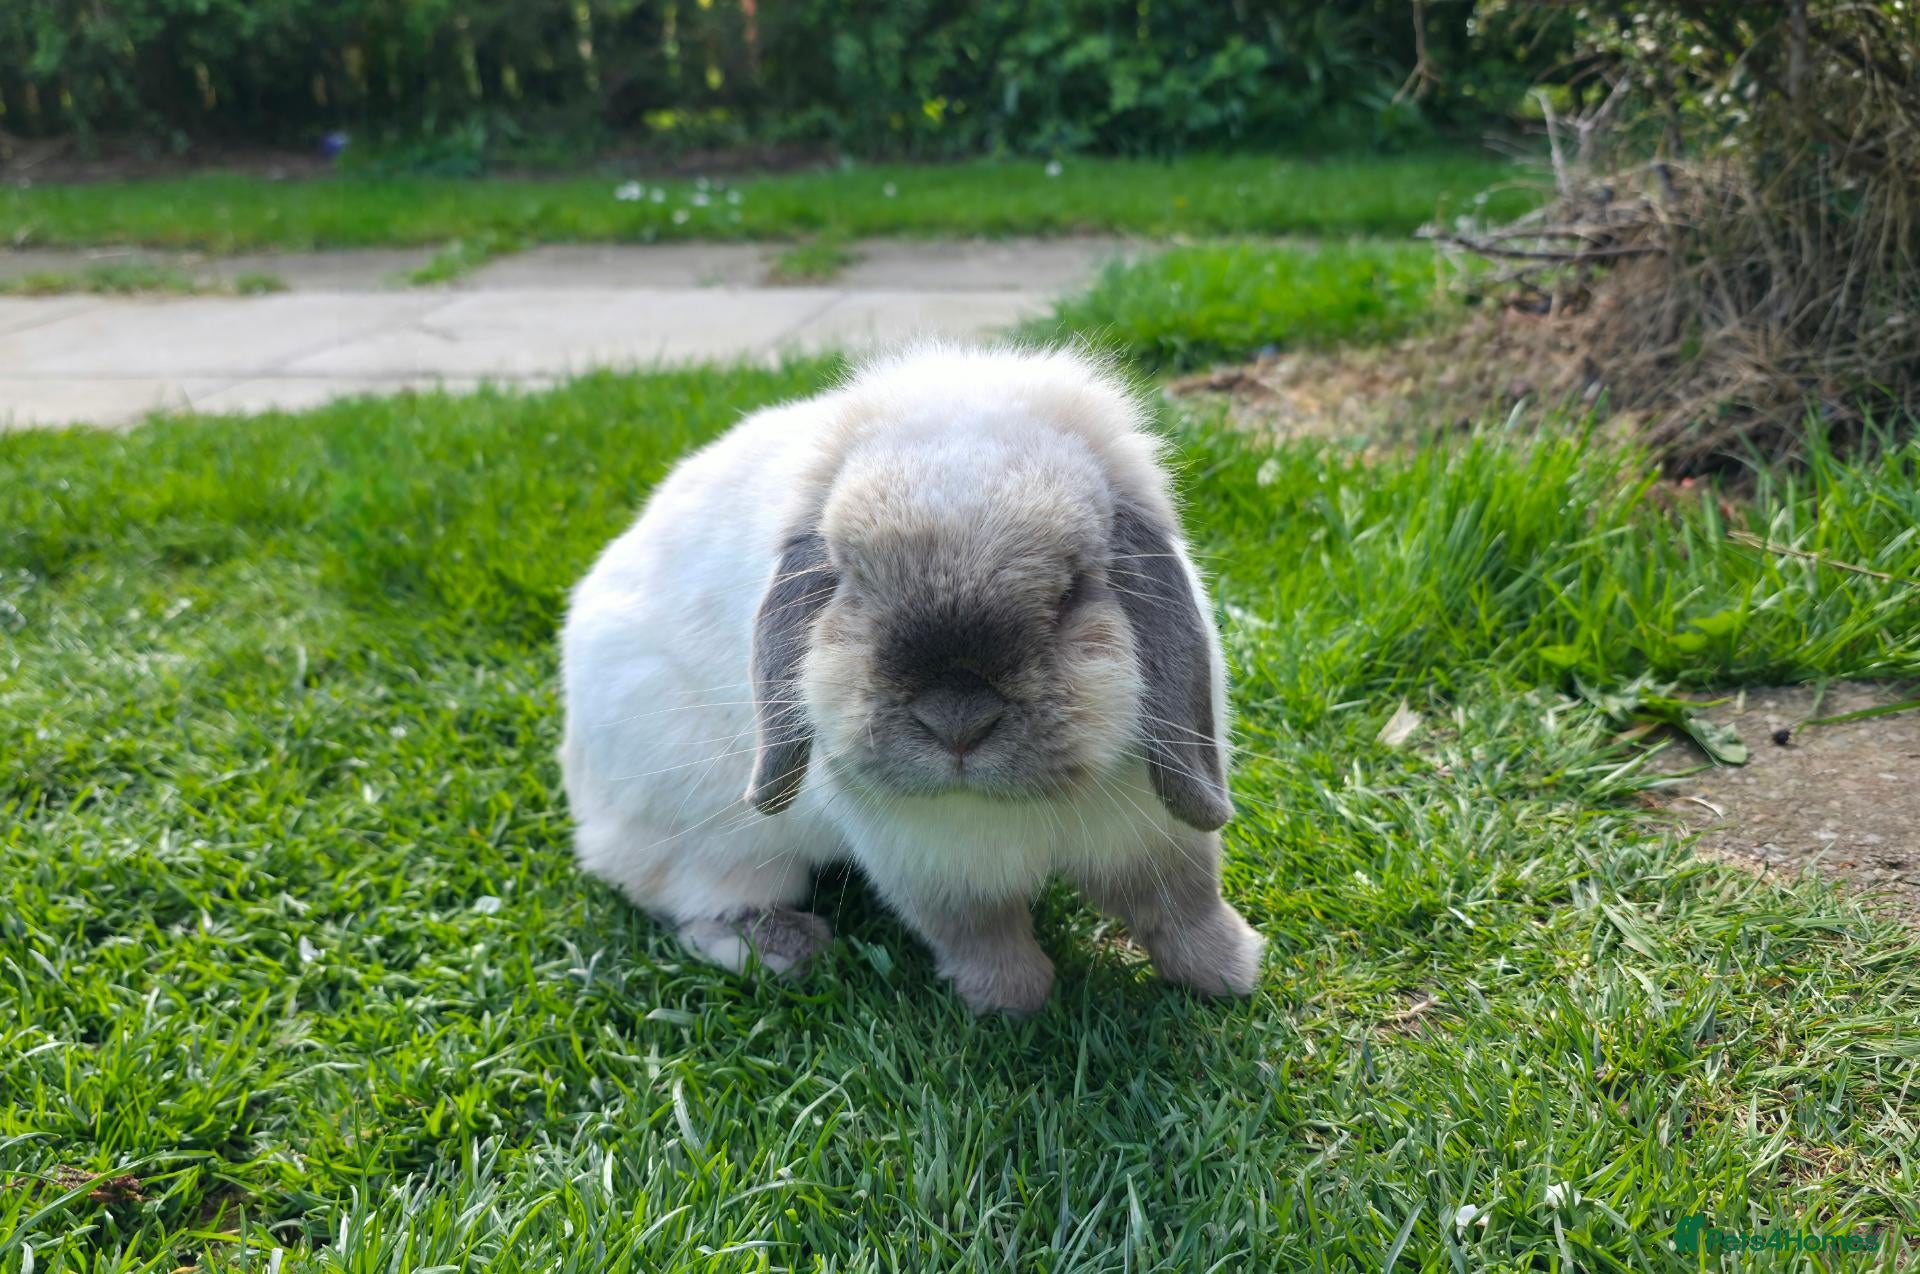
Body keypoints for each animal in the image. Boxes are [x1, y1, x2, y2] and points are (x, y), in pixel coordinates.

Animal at [559, 344, 1263, 1015]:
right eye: (854, 587)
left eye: (1072, 593)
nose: (957, 721)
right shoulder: (933, 865)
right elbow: (982, 936)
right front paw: (1011, 1005)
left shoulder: (1153, 836)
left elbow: (1183, 906)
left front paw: (1232, 974)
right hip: (717, 840)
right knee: (695, 905)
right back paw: (790, 948)